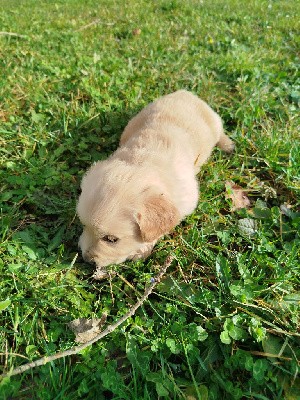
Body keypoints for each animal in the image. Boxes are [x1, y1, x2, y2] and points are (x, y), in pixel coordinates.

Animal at [76, 90, 233, 278]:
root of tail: (185, 92)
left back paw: (228, 145)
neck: (142, 162)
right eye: (83, 225)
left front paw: (143, 249)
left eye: (111, 239)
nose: (86, 259)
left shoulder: (187, 200)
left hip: (214, 120)